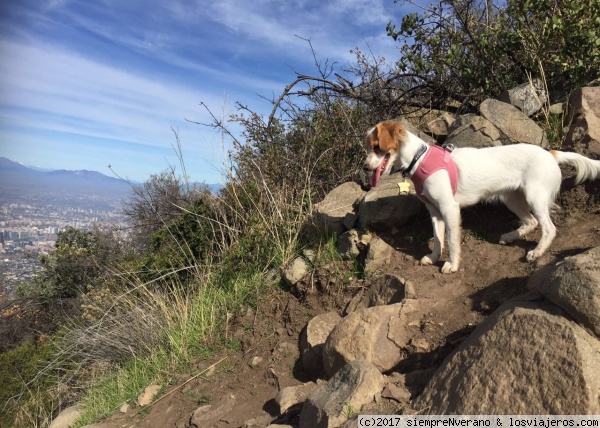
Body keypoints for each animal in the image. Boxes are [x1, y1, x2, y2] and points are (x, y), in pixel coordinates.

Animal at [364, 119, 600, 274]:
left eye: (377, 147)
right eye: (368, 148)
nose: (365, 168)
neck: (419, 159)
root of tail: (550, 153)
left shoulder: (449, 208)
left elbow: (450, 239)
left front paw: (452, 264)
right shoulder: (435, 211)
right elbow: (438, 239)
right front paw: (434, 257)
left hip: (535, 197)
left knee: (549, 228)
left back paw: (537, 251)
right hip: (512, 199)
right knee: (531, 222)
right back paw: (511, 236)